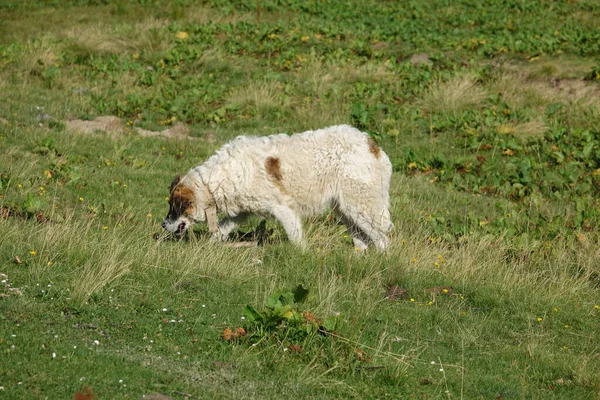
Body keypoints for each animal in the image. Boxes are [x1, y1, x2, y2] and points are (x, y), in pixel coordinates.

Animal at [162, 125, 394, 250]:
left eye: (175, 207)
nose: (163, 225)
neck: (214, 181)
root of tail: (371, 144)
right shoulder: (242, 212)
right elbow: (221, 230)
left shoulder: (284, 209)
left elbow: (296, 238)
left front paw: (303, 256)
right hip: (347, 211)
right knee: (362, 239)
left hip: (361, 208)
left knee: (383, 241)